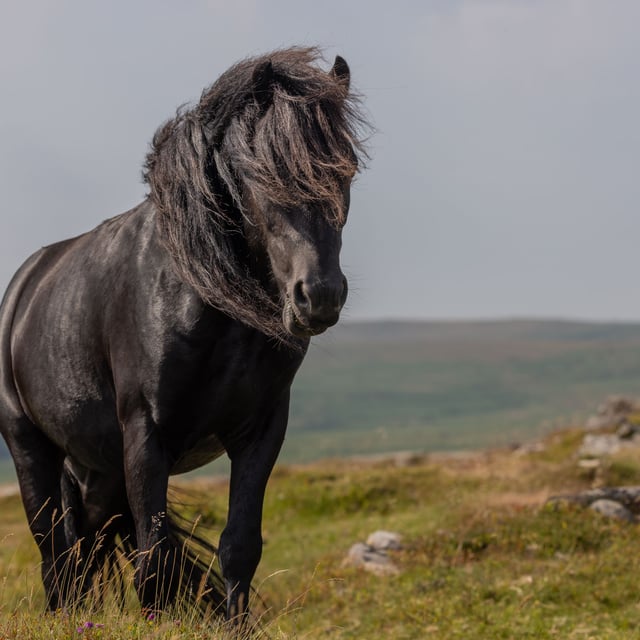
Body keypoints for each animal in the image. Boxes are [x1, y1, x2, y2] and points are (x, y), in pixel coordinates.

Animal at [0, 47, 367, 621]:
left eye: (346, 168)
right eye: (260, 173)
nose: (320, 295)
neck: (209, 299)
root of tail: (27, 281)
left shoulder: (261, 432)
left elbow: (239, 546)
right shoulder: (146, 434)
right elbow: (154, 557)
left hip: (97, 467)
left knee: (83, 549)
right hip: (30, 447)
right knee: (54, 550)